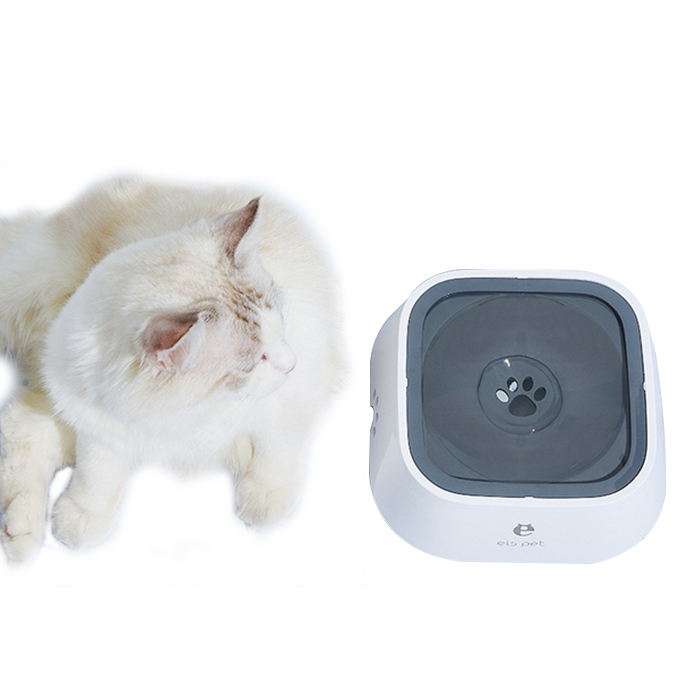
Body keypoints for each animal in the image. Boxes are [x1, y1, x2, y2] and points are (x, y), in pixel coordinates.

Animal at [0, 176, 343, 562]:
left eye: (280, 322)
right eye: (252, 363)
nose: (291, 364)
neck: (183, 415)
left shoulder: (289, 398)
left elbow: (275, 448)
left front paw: (266, 499)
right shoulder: (100, 424)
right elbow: (96, 476)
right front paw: (83, 518)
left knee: (22, 428)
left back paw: (20, 534)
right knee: (22, 432)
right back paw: (22, 534)